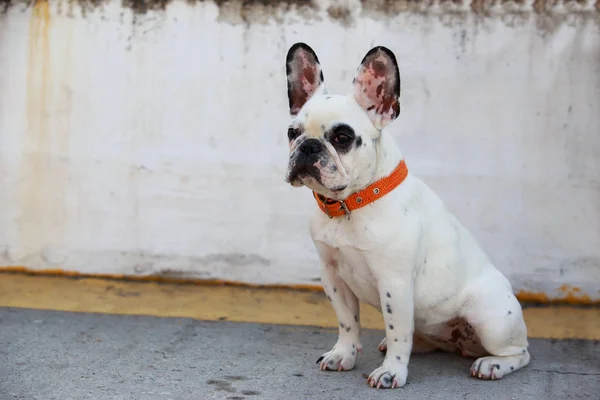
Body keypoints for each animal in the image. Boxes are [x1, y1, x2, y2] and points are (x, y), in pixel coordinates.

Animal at [282, 43, 528, 388]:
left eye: (342, 138)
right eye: (293, 132)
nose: (308, 147)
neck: (351, 204)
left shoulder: (394, 283)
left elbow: (398, 330)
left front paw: (391, 372)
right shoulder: (333, 277)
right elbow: (347, 322)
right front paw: (343, 355)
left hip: (489, 317)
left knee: (520, 352)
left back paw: (492, 364)